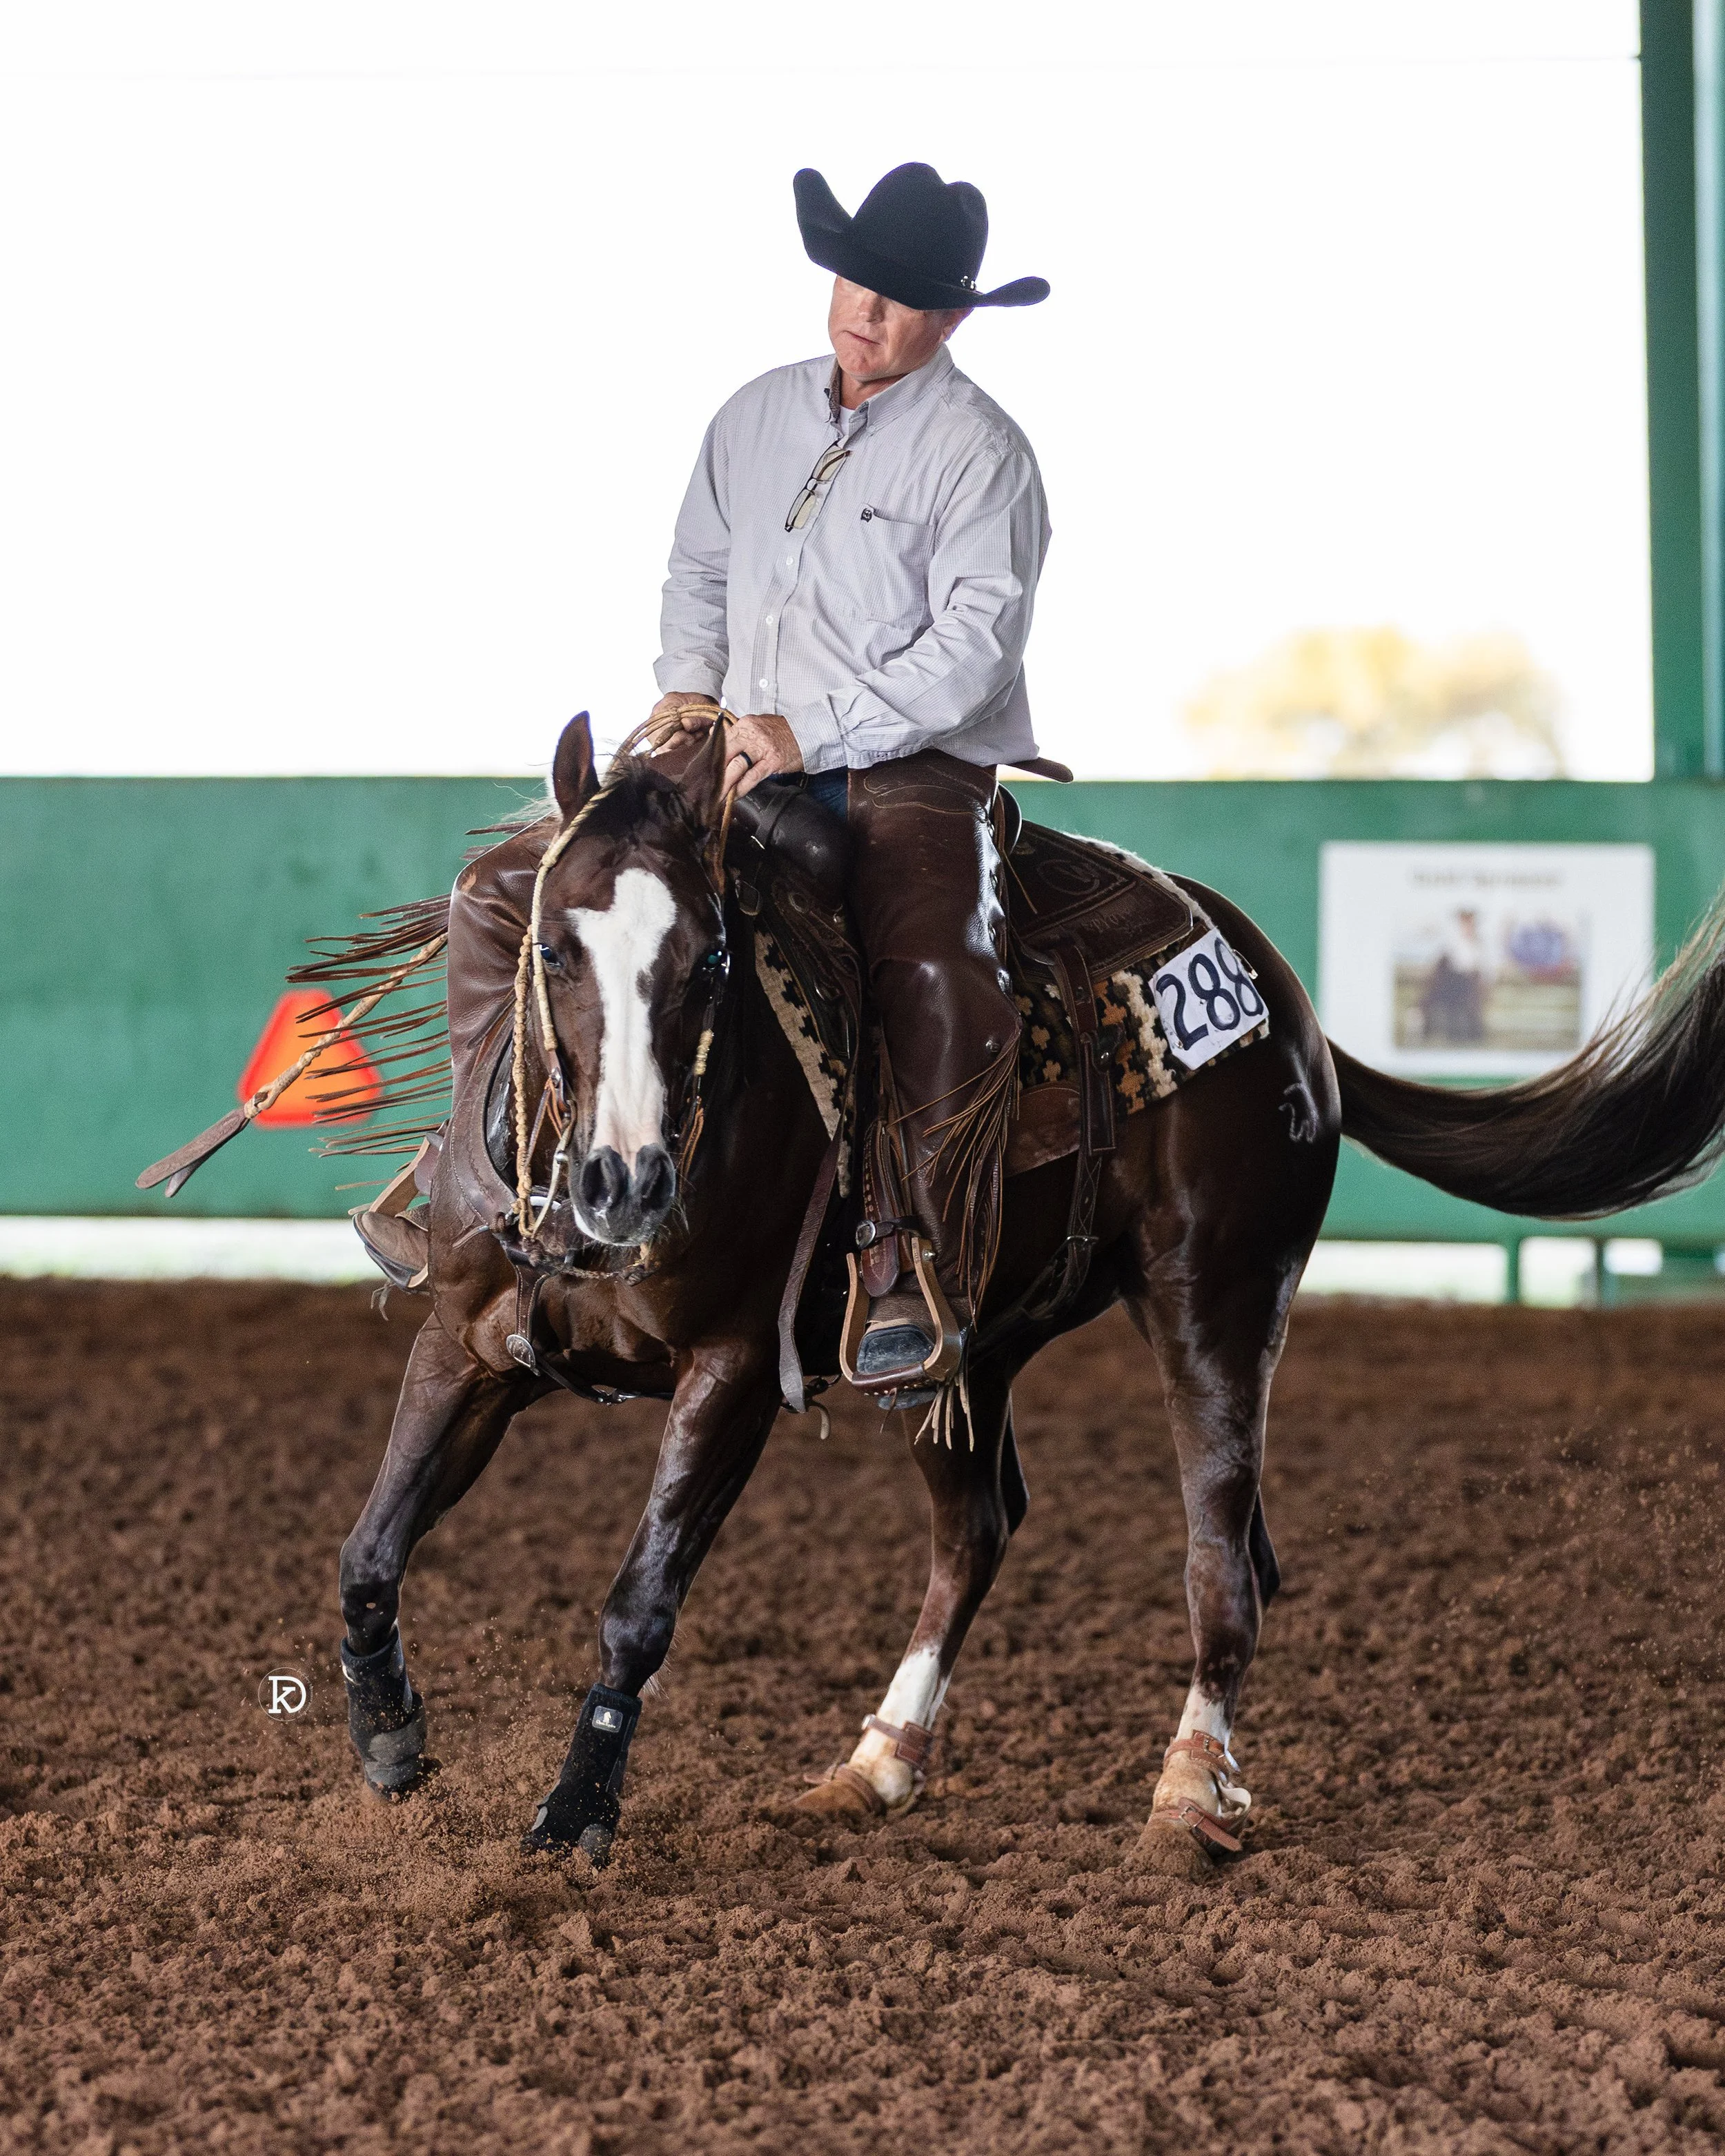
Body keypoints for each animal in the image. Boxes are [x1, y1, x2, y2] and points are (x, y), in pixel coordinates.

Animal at [335, 712, 1725, 1871]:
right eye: (554, 944)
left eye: (712, 956)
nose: (624, 1183)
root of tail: (1286, 1004)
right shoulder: (467, 1344)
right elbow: (368, 1551)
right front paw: (391, 1738)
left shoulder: (730, 1373)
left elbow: (639, 1603)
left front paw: (573, 1818)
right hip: (960, 1353)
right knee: (981, 1528)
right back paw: (874, 1765)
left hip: (1219, 1295)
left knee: (1222, 1554)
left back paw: (1186, 1797)